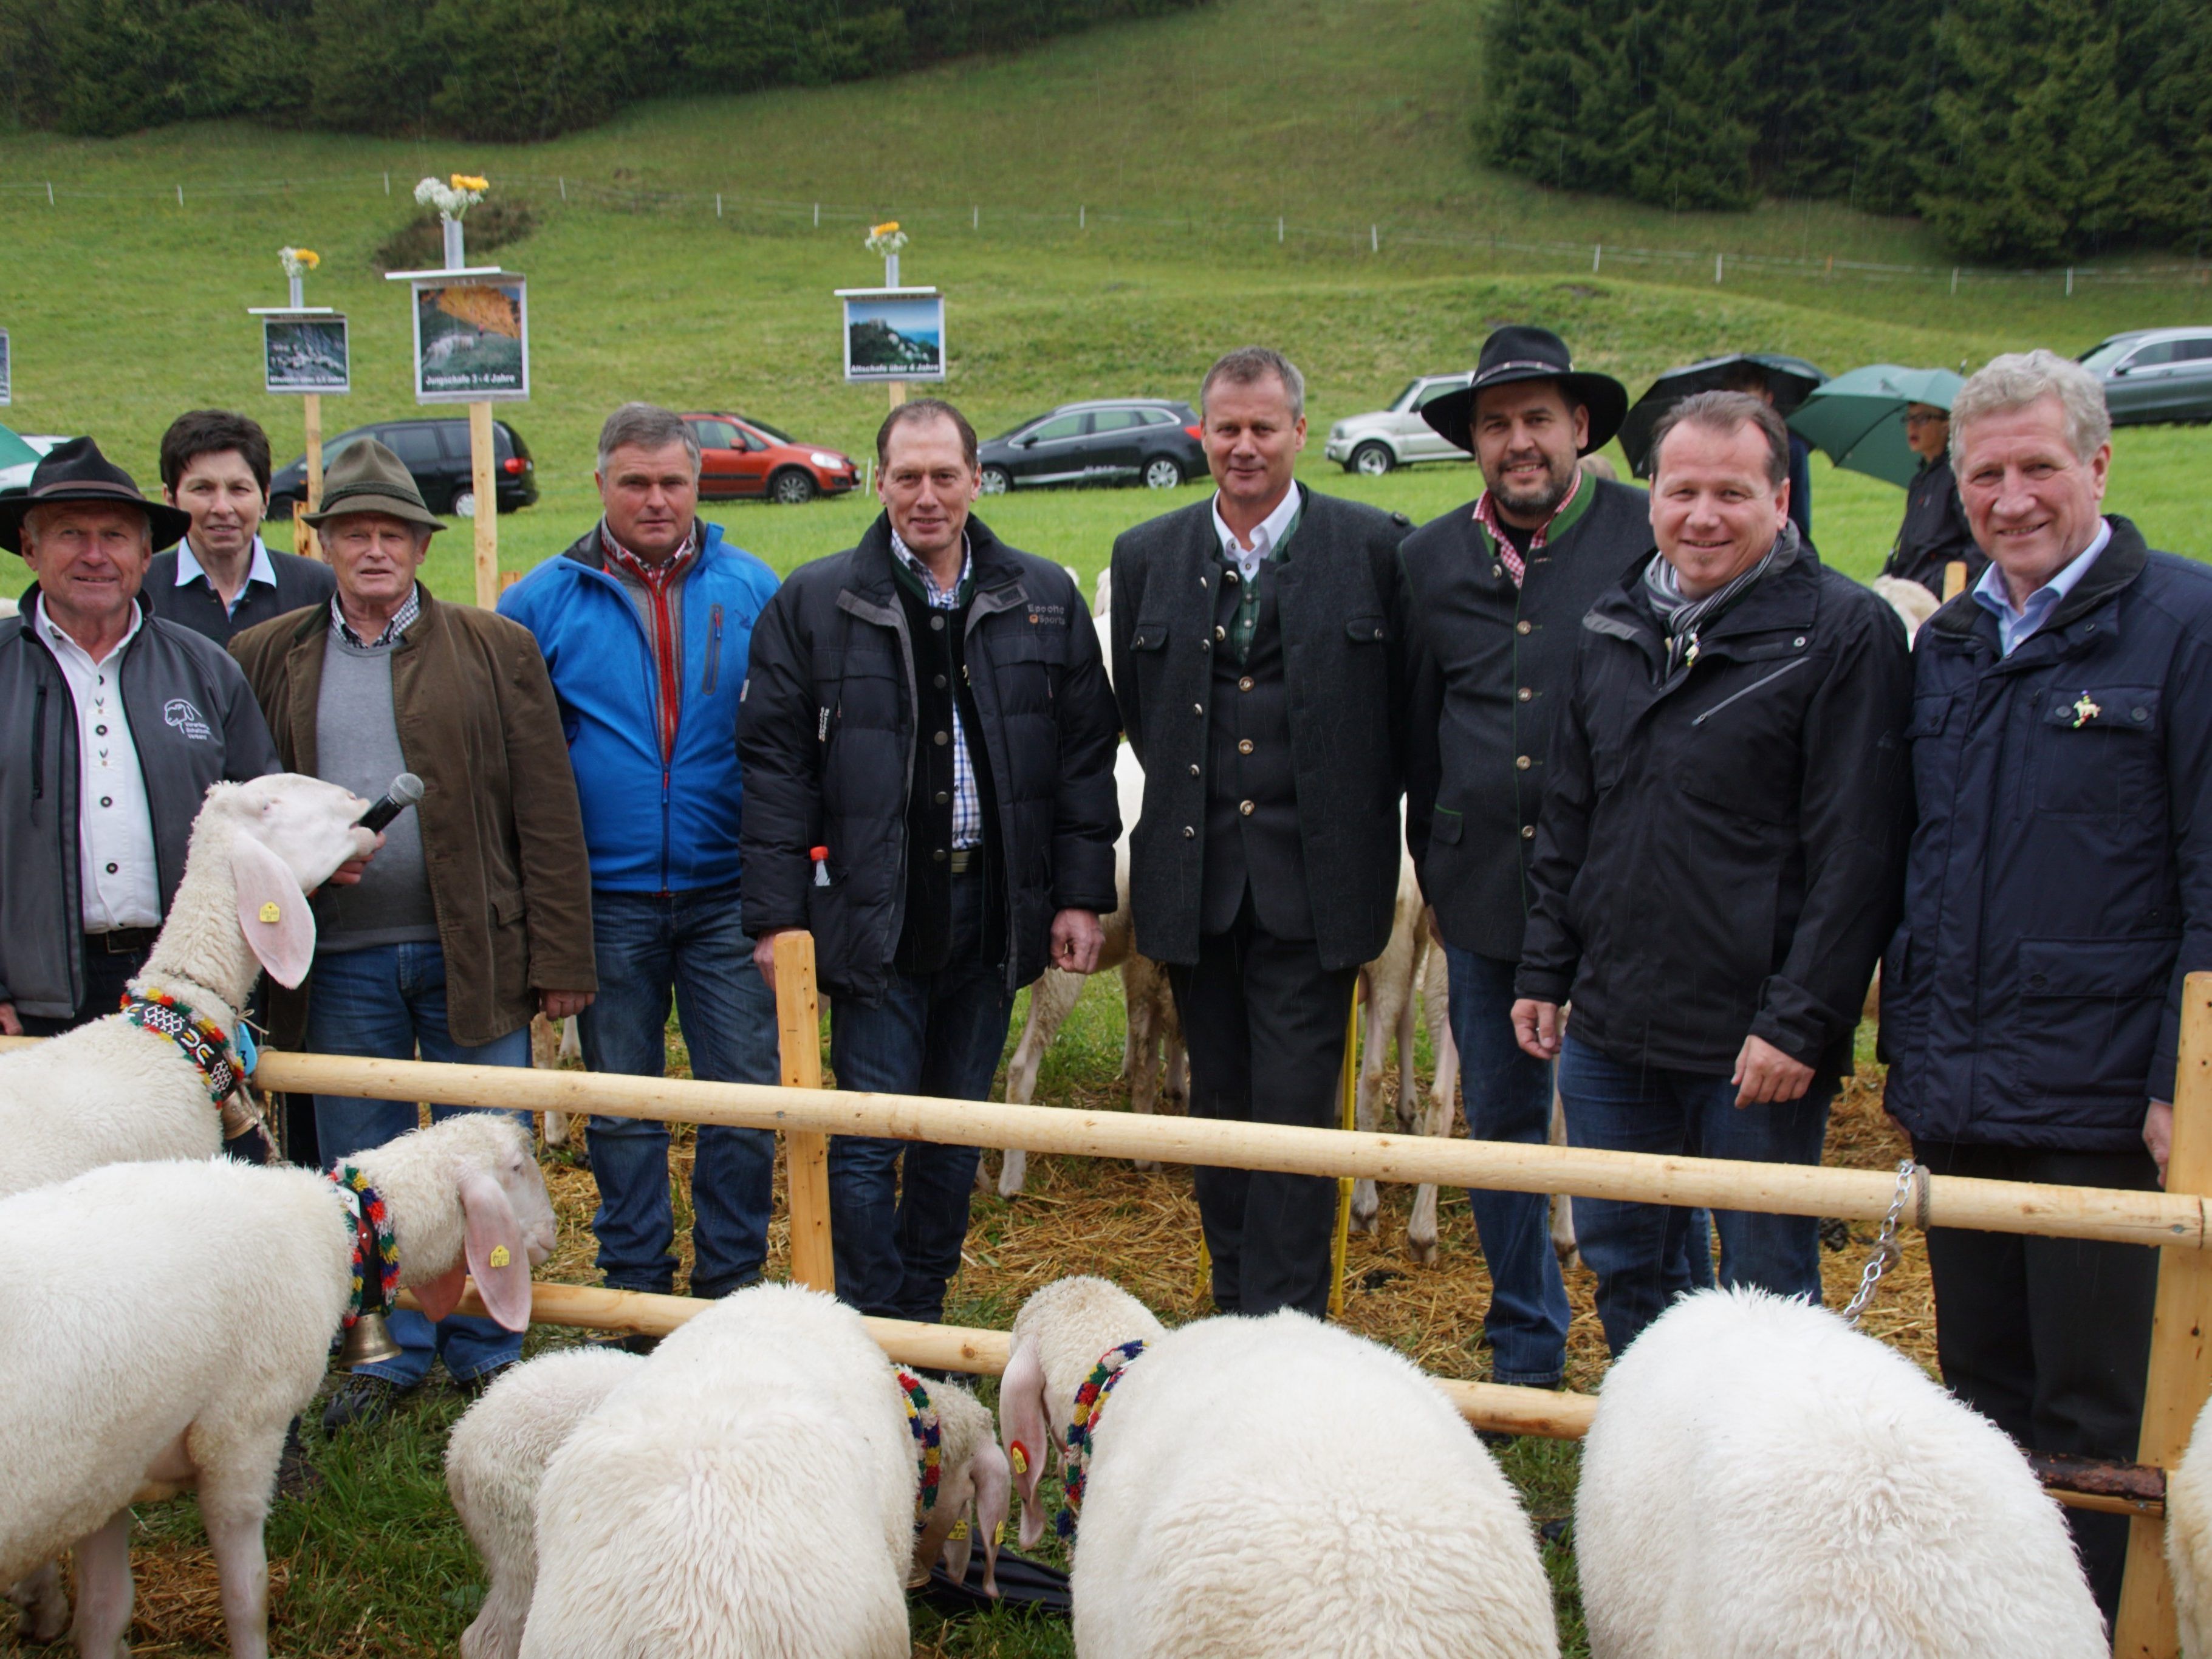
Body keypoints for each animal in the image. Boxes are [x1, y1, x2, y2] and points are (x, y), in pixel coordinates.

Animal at [0, 1110, 550, 1659]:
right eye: (517, 1166)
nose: (550, 1234)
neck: (335, 1230)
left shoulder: (107, 1482)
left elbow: (104, 1612)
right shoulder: (240, 1439)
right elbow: (248, 1596)